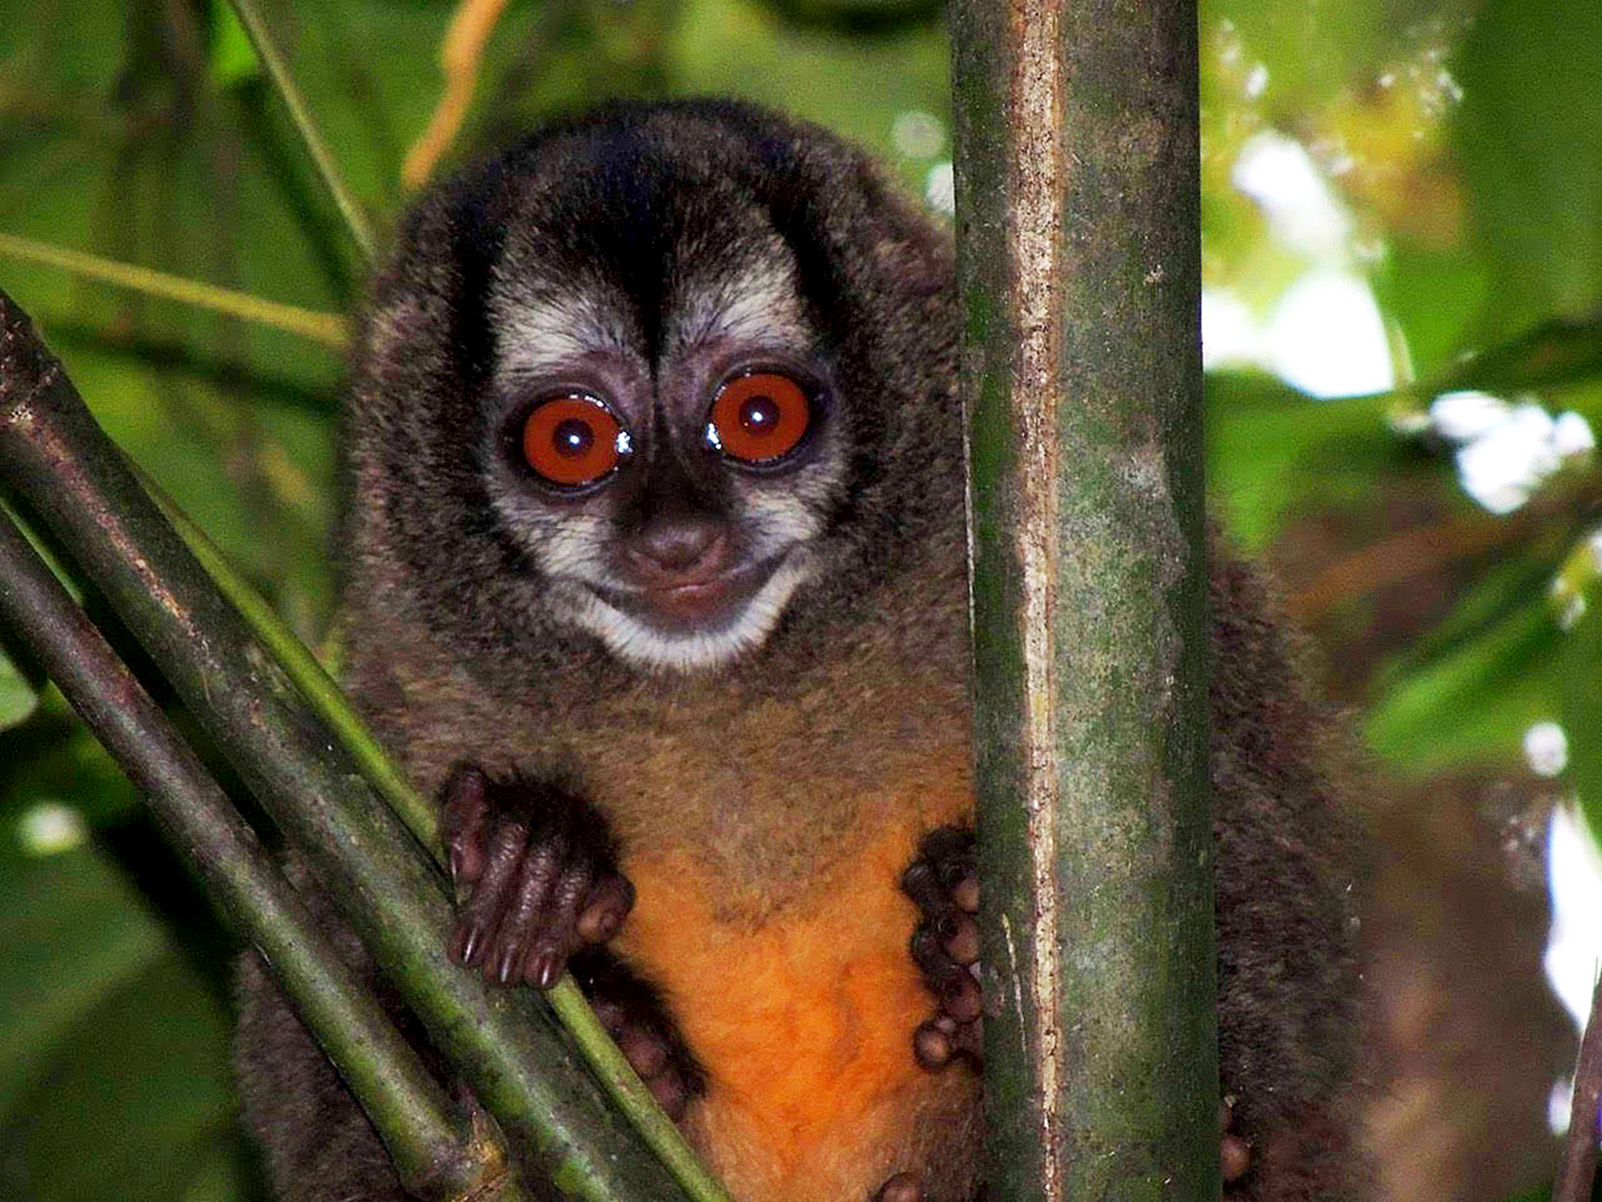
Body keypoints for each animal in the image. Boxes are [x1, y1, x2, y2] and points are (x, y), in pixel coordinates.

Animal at [235, 99, 1363, 1202]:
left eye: (757, 415)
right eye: (572, 440)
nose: (678, 538)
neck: (727, 697)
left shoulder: (1194, 631)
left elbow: (1283, 967)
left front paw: (967, 920)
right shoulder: (381, 715)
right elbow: (339, 1119)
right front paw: (534, 855)